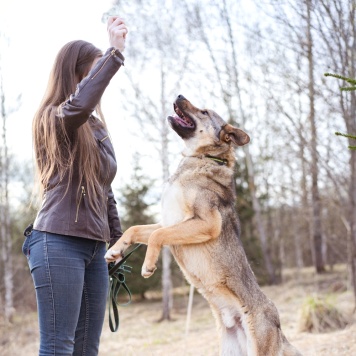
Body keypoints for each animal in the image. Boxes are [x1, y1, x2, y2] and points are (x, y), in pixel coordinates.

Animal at [105, 95, 300, 356]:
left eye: (204, 112)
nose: (178, 95)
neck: (202, 159)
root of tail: (278, 326)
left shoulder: (204, 224)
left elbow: (157, 236)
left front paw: (148, 265)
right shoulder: (169, 222)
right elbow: (135, 229)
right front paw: (115, 250)